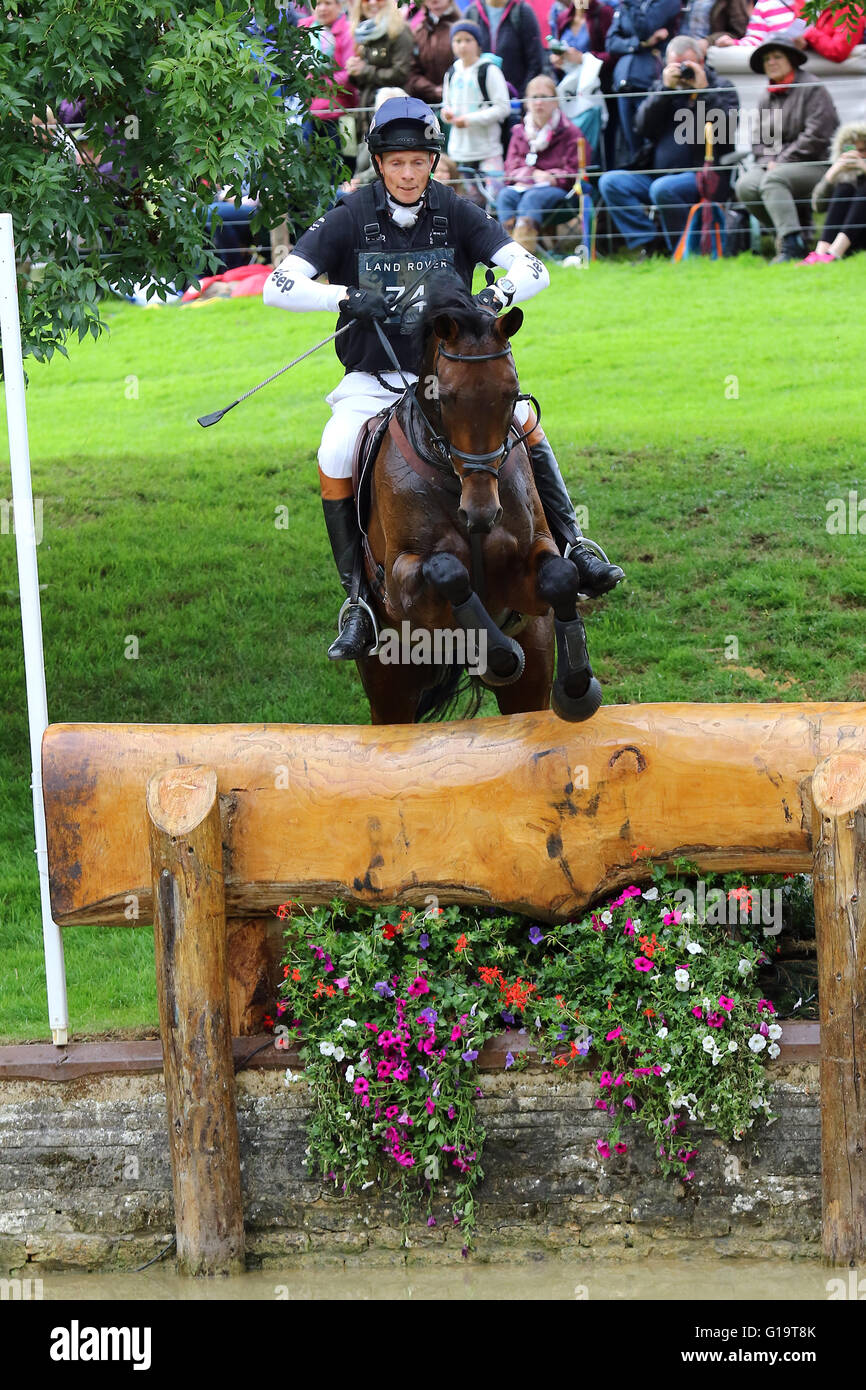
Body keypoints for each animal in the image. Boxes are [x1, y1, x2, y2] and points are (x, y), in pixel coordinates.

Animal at [353, 271, 603, 728]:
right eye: (445, 395)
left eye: (511, 392)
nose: (481, 512)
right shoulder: (401, 586)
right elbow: (447, 570)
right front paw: (498, 654)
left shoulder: (529, 566)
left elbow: (561, 576)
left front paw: (577, 685)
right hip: (389, 687)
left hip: (531, 670)